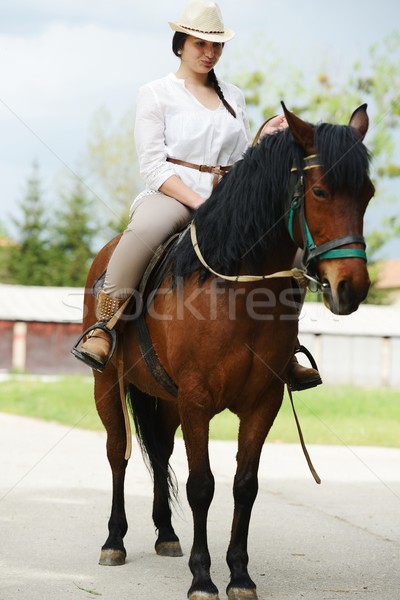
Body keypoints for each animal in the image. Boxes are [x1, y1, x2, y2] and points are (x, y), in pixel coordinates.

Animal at [81, 105, 376, 600]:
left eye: (368, 194)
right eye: (320, 191)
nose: (350, 288)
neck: (237, 290)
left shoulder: (262, 401)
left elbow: (245, 485)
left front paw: (239, 574)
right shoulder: (197, 399)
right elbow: (202, 485)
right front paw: (203, 578)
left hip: (165, 399)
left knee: (160, 452)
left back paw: (166, 534)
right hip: (108, 384)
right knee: (117, 453)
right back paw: (113, 540)